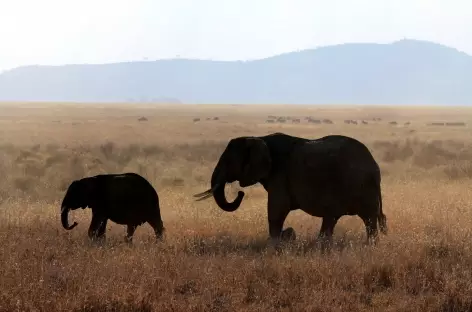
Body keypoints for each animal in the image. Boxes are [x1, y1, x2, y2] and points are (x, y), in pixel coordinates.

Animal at [194, 133, 386, 247]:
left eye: (228, 162)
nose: (240, 193)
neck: (258, 138)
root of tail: (375, 165)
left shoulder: (280, 174)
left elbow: (276, 209)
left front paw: (275, 244)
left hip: (361, 186)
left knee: (365, 219)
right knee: (339, 218)